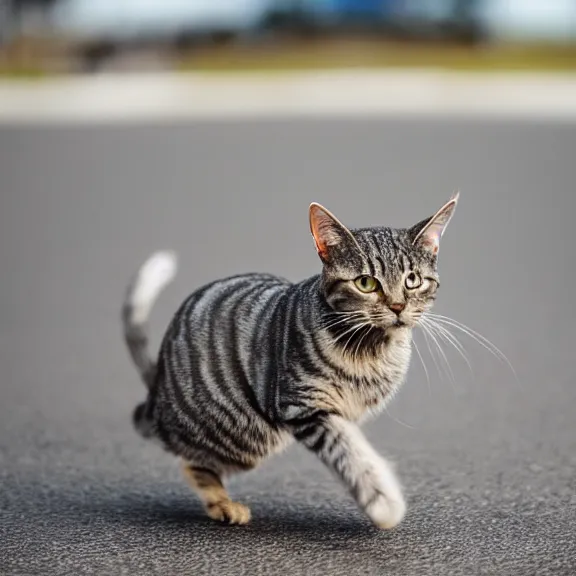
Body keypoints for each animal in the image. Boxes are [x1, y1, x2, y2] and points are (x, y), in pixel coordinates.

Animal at [121, 196, 460, 528]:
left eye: (412, 280)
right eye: (366, 283)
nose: (398, 306)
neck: (371, 348)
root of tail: (158, 391)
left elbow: (355, 443)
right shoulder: (303, 406)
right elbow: (348, 451)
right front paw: (382, 501)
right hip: (241, 437)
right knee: (192, 462)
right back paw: (223, 505)